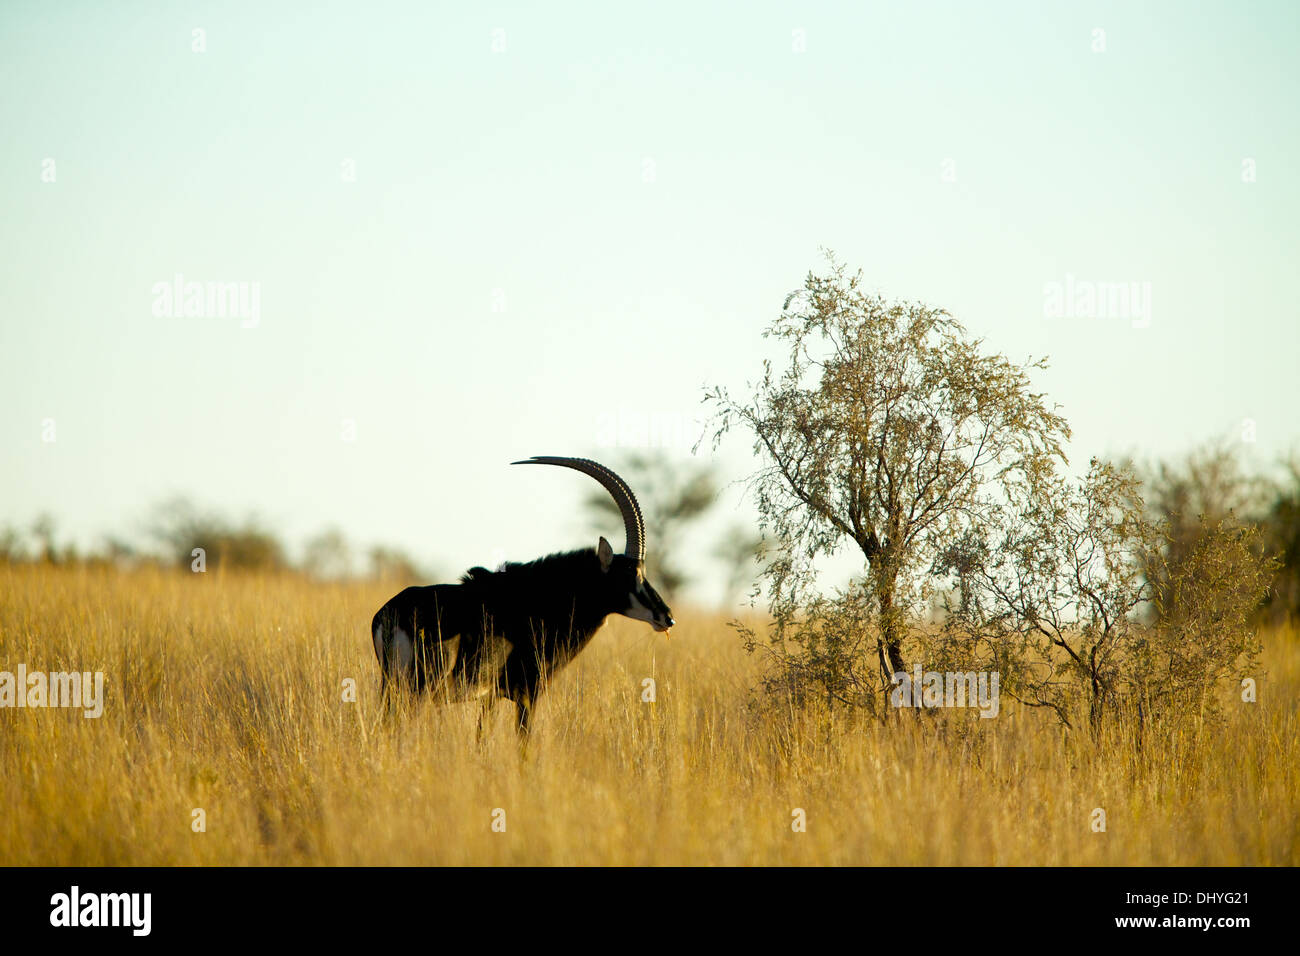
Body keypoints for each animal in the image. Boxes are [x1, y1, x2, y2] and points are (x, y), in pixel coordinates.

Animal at [366, 460, 670, 743]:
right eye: (631, 575)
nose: (666, 616)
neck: (536, 600)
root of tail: (389, 615)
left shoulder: (489, 697)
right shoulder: (527, 694)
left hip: (392, 687)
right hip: (420, 688)